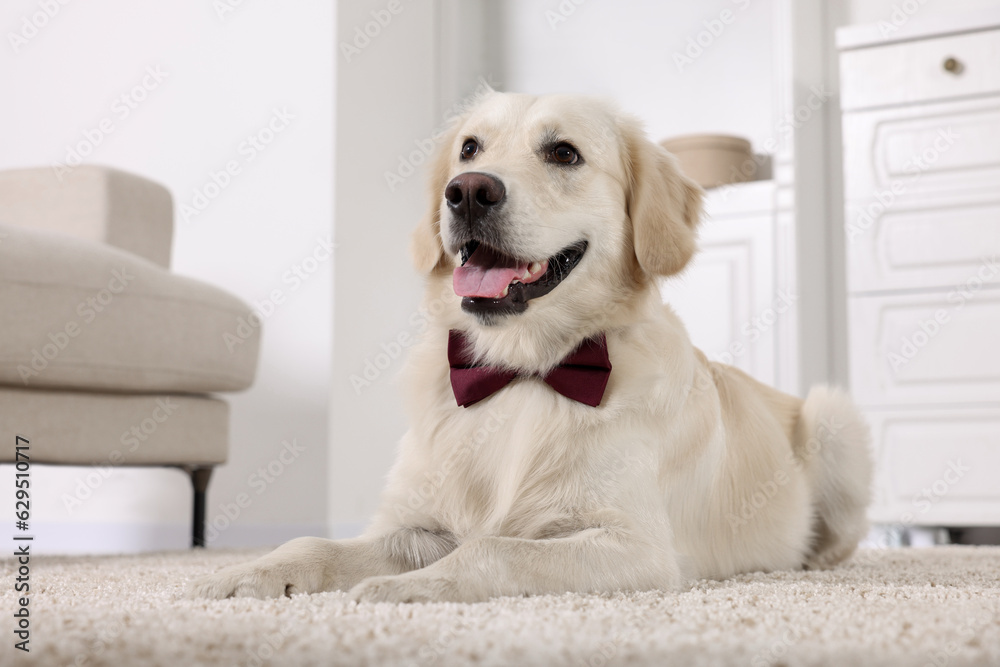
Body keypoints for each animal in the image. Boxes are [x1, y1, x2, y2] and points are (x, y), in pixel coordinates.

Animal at [191, 90, 872, 604]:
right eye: (469, 148)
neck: (519, 368)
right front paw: (250, 571)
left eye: (563, 152)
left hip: (833, 413)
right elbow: (317, 544)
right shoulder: (419, 521)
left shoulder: (635, 546)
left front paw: (409, 587)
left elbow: (494, 548)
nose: (467, 191)